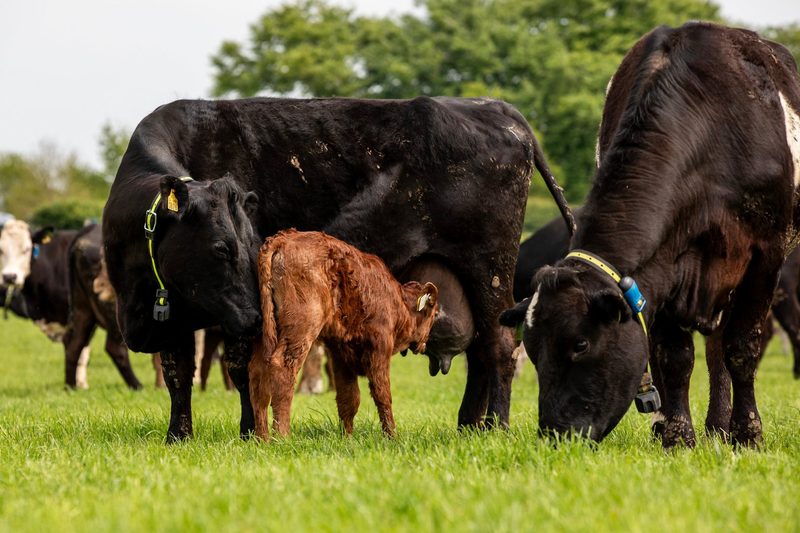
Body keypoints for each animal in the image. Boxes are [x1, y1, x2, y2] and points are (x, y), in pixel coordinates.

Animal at [249, 229, 439, 440]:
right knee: (283, 368)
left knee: (258, 375)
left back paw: (262, 438)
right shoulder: (379, 348)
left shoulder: (340, 352)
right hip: (301, 330)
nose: (424, 343)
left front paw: (346, 437)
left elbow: (349, 398)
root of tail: (283, 239)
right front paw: (392, 437)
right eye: (435, 314)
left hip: (265, 333)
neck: (396, 302)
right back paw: (282, 436)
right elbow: (382, 394)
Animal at [501, 22, 800, 448]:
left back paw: (723, 427)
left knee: (724, 347)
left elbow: (743, 347)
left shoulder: (766, 254)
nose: (556, 435)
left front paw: (747, 434)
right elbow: (674, 357)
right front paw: (678, 437)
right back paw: (702, 425)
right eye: (532, 349)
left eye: (580, 343)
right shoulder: (662, 264)